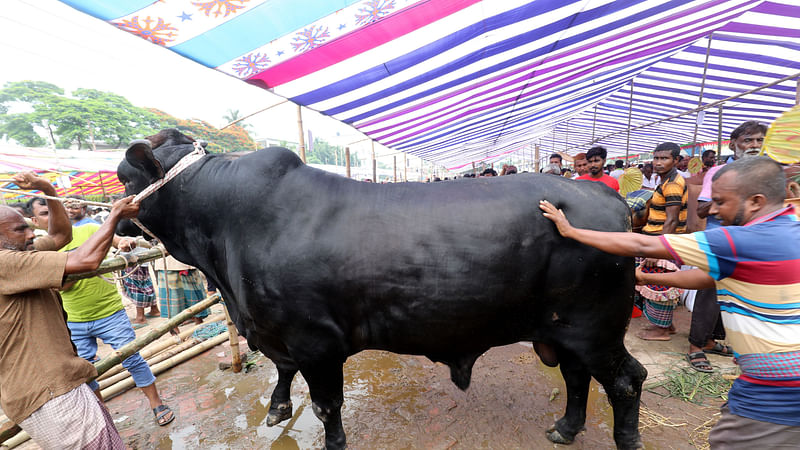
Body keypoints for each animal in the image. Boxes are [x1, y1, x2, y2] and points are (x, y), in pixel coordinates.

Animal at [117, 128, 644, 448]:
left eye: (123, 178)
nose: (115, 221)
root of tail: (605, 197)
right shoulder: (277, 333)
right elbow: (283, 371)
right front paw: (277, 407)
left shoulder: (315, 342)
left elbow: (326, 405)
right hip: (563, 330)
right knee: (577, 377)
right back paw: (565, 428)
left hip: (595, 329)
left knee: (624, 380)